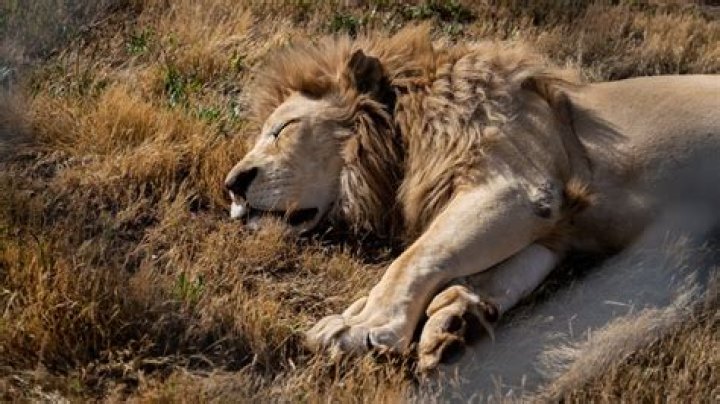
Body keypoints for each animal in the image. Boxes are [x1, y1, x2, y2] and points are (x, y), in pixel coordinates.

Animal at [224, 25, 720, 370]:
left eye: (283, 128)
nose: (232, 185)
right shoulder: (554, 231)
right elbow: (500, 277)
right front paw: (455, 321)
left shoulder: (516, 188)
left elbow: (414, 259)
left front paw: (362, 327)